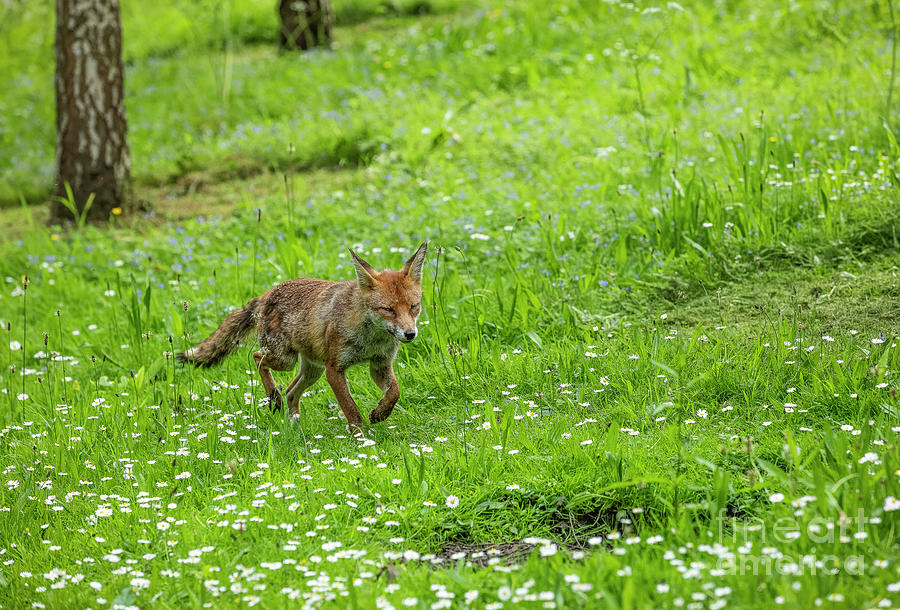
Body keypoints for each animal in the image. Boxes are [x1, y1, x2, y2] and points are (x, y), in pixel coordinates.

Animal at [179, 242, 428, 432]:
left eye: (413, 307)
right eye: (388, 309)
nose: (410, 334)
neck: (371, 340)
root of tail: (271, 291)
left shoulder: (379, 364)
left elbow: (394, 393)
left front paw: (380, 413)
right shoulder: (334, 369)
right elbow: (351, 410)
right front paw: (361, 439)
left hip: (312, 370)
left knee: (290, 392)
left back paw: (295, 429)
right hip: (285, 360)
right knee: (258, 359)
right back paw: (274, 399)